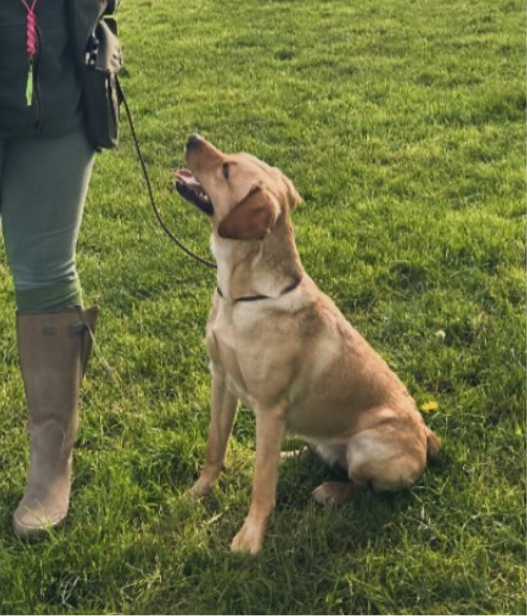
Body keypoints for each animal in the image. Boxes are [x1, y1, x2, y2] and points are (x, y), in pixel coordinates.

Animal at [175, 137, 440, 556]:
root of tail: (428, 438)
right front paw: (198, 492)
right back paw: (292, 453)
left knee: (361, 486)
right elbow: (214, 447)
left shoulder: (269, 408)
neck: (240, 296)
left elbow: (262, 486)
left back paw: (330, 491)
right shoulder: (221, 380)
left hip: (368, 447)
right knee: (309, 454)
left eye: (226, 169)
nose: (192, 138)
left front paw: (251, 537)